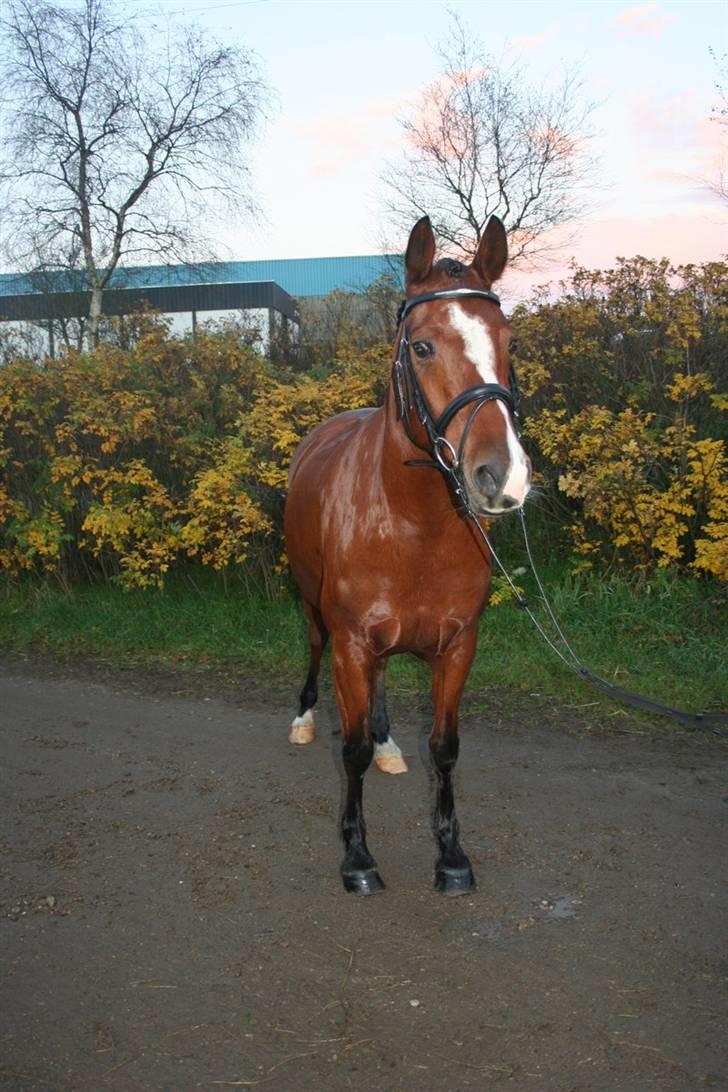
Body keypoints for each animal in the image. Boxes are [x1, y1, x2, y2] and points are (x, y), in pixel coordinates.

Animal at [283, 213, 531, 895]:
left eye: (510, 341)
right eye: (421, 347)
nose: (502, 476)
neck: (412, 525)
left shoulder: (458, 646)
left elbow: (443, 749)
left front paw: (451, 855)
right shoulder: (349, 643)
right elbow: (351, 752)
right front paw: (357, 857)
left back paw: (390, 743)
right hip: (312, 609)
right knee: (313, 651)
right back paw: (304, 718)